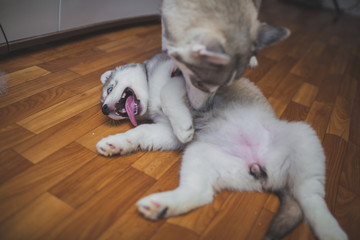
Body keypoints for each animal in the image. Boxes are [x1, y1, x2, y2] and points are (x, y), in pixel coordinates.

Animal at [97, 53, 348, 239]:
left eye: (109, 89)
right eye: (104, 96)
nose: (104, 108)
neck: (150, 83)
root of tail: (262, 168)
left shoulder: (188, 84)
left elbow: (168, 92)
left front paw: (182, 125)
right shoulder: (165, 130)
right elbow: (142, 131)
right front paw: (116, 142)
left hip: (304, 137)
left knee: (310, 198)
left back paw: (330, 230)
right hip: (201, 154)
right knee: (201, 193)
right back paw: (161, 205)